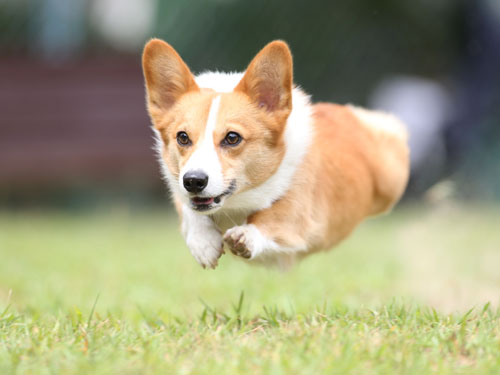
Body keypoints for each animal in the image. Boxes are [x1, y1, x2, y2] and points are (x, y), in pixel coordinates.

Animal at [142, 39, 410, 270]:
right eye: (182, 137)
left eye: (232, 137)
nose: (194, 181)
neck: (235, 205)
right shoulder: (181, 188)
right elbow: (190, 210)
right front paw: (204, 243)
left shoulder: (298, 212)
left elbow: (274, 218)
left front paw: (245, 235)